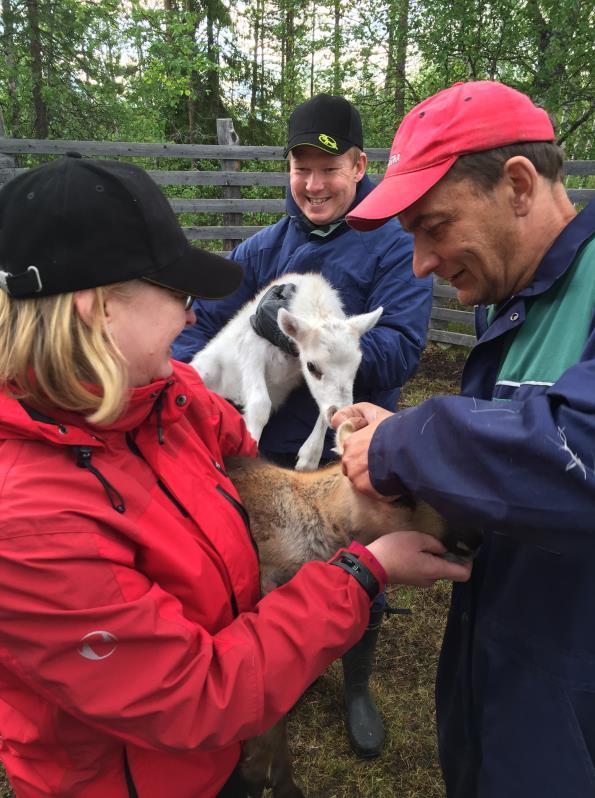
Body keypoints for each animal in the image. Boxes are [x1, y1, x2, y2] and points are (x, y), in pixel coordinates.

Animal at [193, 276, 384, 472]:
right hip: (207, 367)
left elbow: (323, 407)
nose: (341, 414)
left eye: (357, 366)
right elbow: (260, 405)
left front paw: (309, 458)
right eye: (311, 366)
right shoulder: (252, 346)